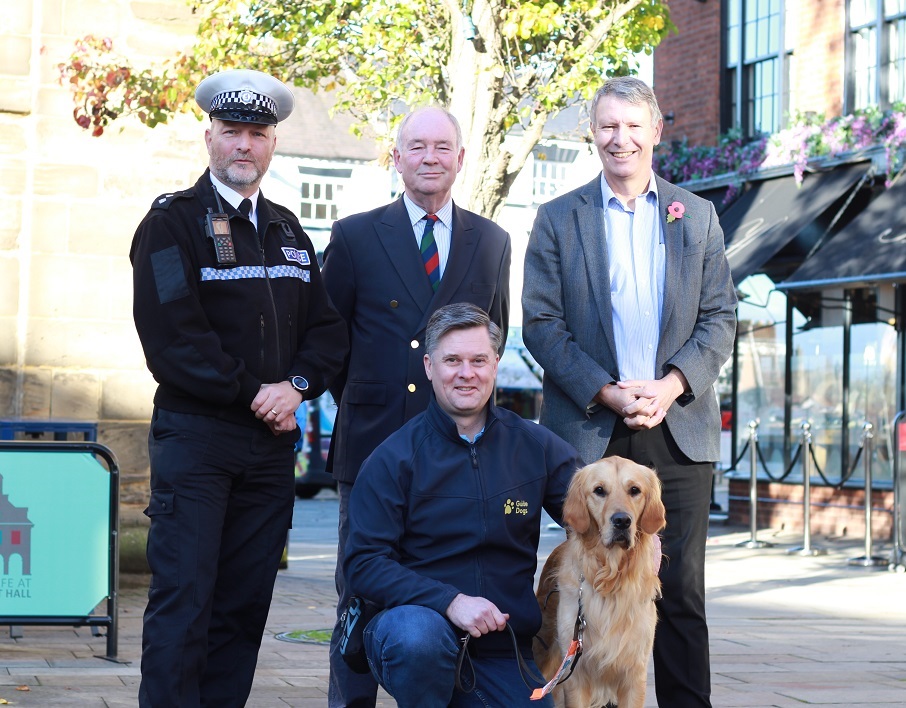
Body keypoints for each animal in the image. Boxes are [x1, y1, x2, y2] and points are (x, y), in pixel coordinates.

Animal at [528, 456, 664, 704]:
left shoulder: (634, 674)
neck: (610, 577)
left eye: (634, 490)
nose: (622, 521)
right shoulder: (575, 674)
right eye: (599, 490)